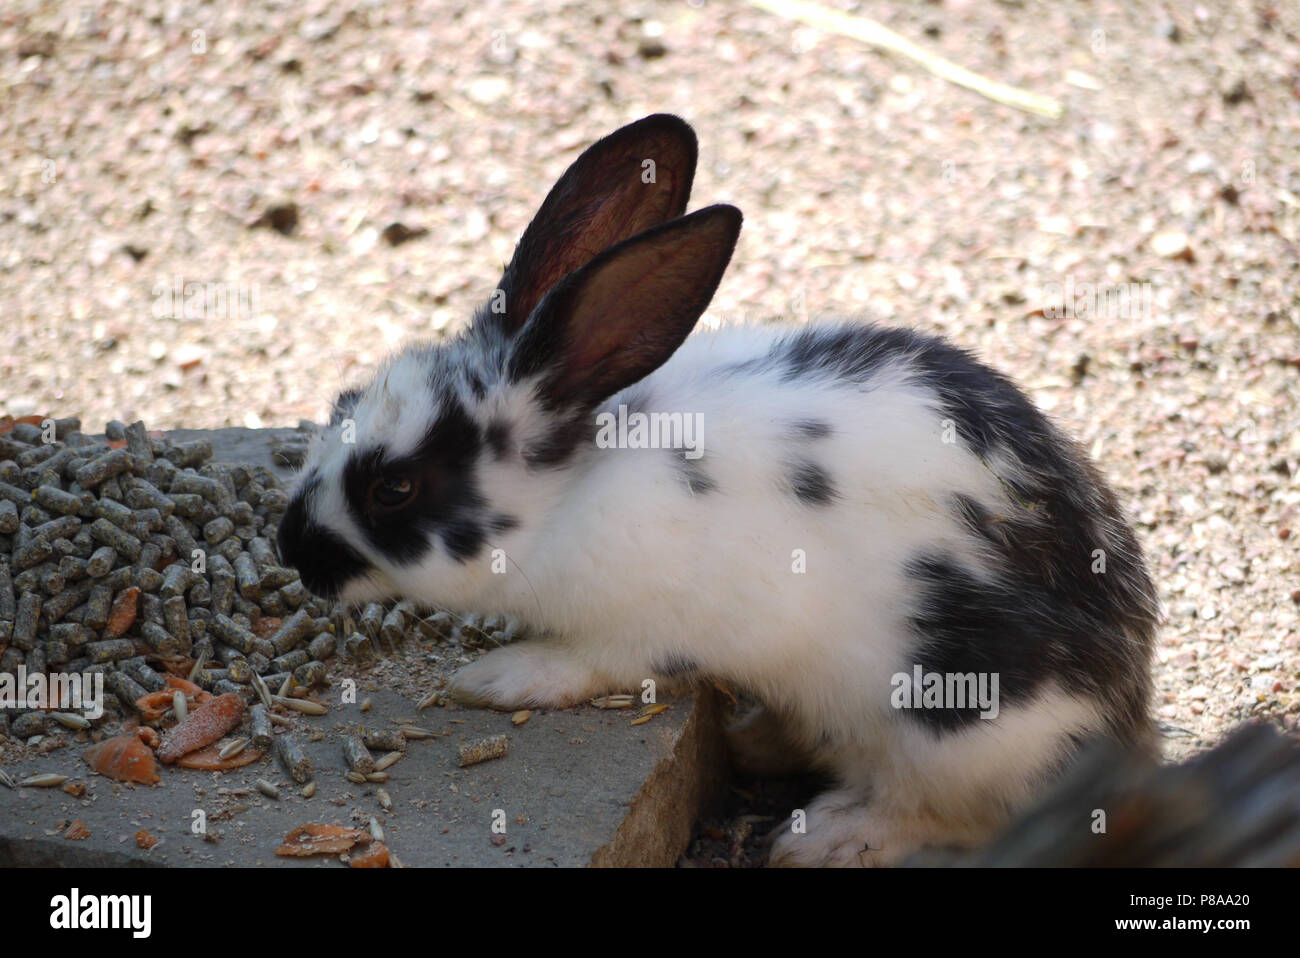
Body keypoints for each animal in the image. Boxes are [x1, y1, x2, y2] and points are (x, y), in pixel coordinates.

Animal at [276, 114, 1159, 867]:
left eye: (394, 487)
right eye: (342, 403)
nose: (294, 552)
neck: (570, 492)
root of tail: (1123, 732)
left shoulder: (650, 628)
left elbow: (594, 661)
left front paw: (499, 679)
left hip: (959, 724)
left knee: (953, 813)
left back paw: (824, 836)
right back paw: (753, 740)